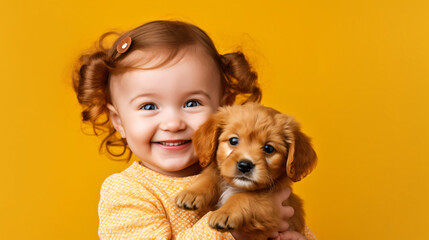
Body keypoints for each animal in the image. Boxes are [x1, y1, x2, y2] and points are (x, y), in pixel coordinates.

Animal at [175, 102, 318, 238]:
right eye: (233, 140)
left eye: (269, 148)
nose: (245, 165)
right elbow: (209, 178)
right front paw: (191, 193)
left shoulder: (271, 205)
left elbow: (245, 197)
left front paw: (225, 212)